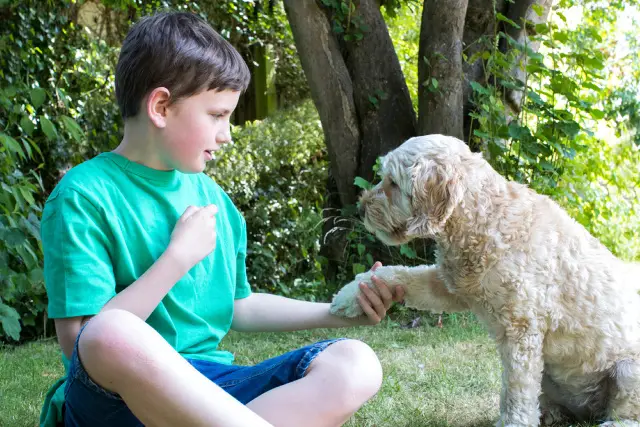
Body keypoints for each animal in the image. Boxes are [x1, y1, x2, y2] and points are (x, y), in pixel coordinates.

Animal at [330, 135, 640, 427]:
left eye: (393, 182)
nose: (361, 208)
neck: (485, 218)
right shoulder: (450, 286)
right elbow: (399, 273)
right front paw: (352, 294)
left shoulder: (521, 330)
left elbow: (516, 389)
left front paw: (514, 422)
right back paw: (550, 413)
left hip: (628, 372)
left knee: (626, 411)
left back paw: (613, 422)